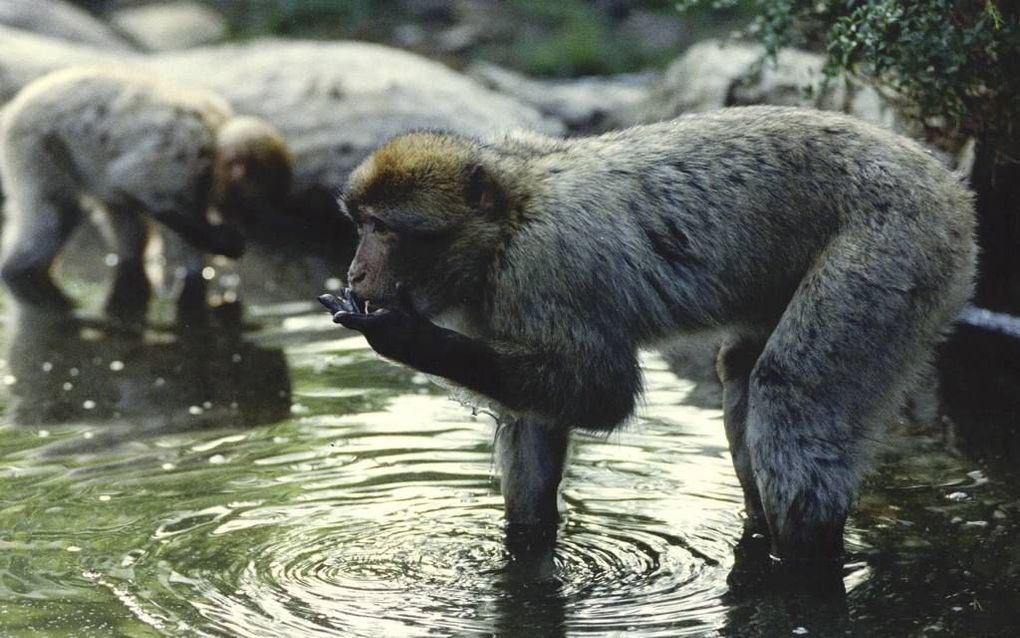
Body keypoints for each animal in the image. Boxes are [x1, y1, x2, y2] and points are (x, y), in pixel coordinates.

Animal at [0, 68, 295, 322]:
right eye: (251, 209)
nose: (247, 224)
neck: (214, 138)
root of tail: (16, 106)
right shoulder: (184, 155)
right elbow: (134, 185)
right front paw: (227, 243)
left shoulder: (194, 182)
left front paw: (196, 275)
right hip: (35, 143)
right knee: (56, 218)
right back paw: (14, 272)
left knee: (126, 226)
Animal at [318, 107, 971, 563]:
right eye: (361, 225)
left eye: (384, 230)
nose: (355, 271)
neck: (507, 220)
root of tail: (948, 183)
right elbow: (536, 424)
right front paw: (525, 552)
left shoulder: (549, 268)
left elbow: (602, 391)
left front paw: (408, 338)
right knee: (740, 371)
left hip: (896, 250)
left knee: (790, 393)